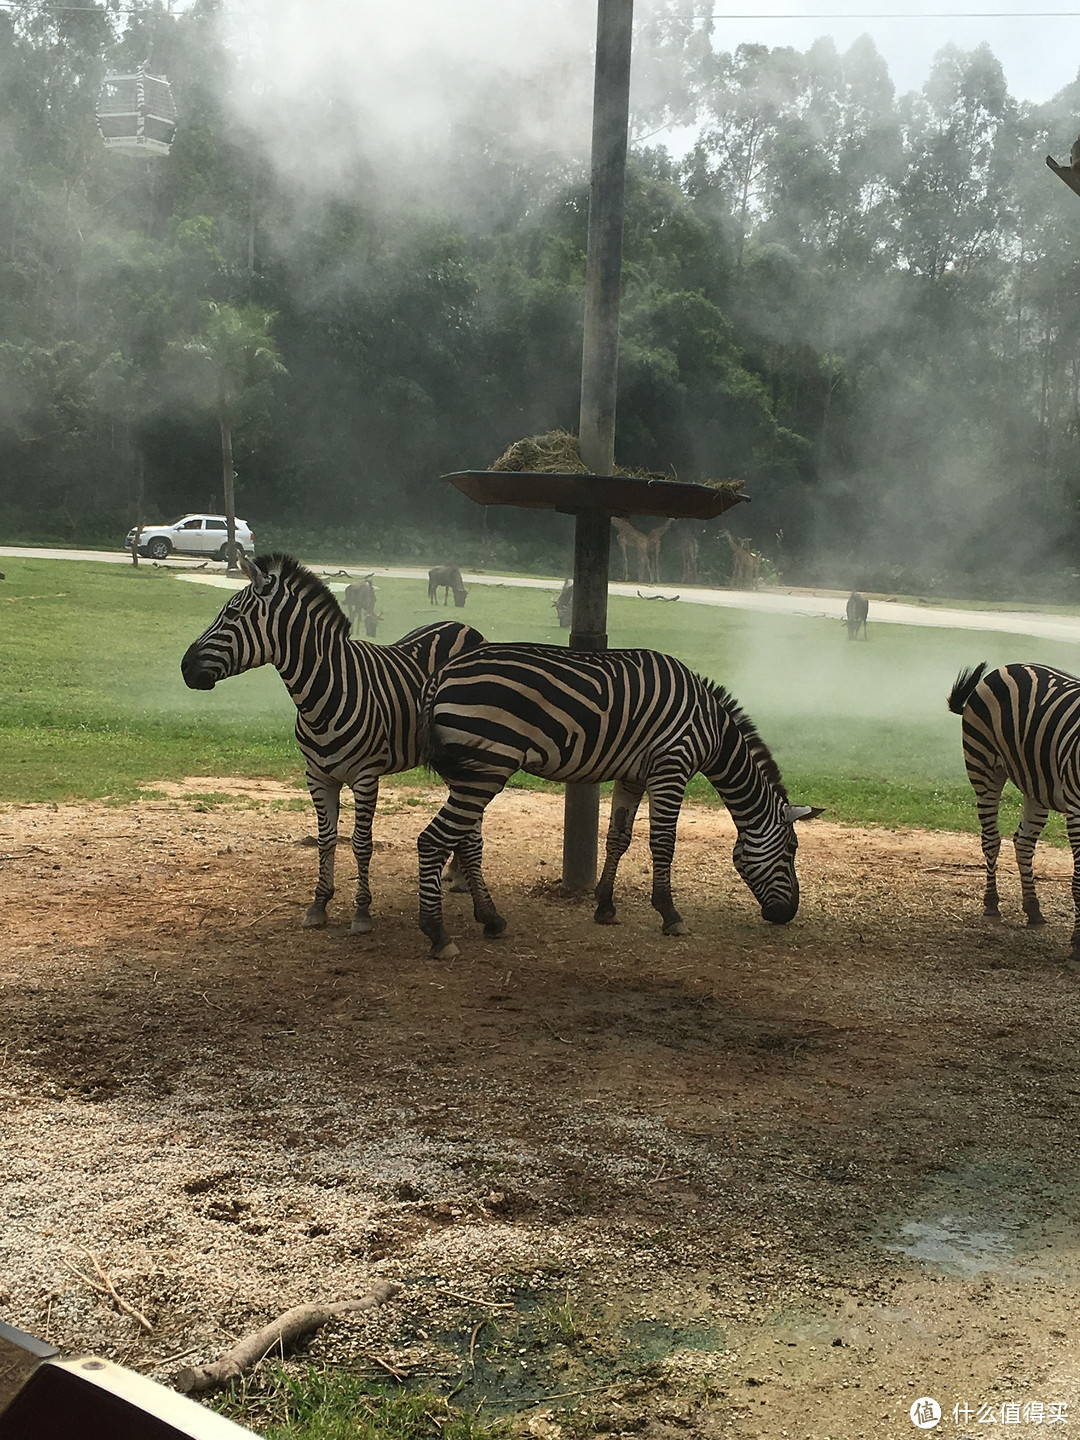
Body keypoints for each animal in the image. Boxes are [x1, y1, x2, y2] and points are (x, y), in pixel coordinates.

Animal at [182, 550, 486, 933]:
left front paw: (362, 911)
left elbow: (361, 843)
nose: (185, 667)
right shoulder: (317, 776)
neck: (323, 692)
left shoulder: (366, 778)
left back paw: (460, 876)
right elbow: (325, 840)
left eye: (232, 615)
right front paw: (318, 904)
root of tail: (465, 627)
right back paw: (456, 874)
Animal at [414, 642, 817, 956]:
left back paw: (491, 919)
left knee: (466, 841)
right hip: (487, 768)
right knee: (432, 840)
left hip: (470, 772)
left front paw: (605, 905)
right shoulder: (671, 766)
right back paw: (438, 934)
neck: (713, 730)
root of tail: (441, 675)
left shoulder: (633, 776)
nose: (787, 914)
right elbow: (663, 842)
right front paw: (670, 914)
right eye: (791, 850)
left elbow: (617, 837)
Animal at [950, 662, 1080, 967]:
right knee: (991, 840)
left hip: (1037, 784)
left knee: (1023, 841)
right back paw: (991, 905)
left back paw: (1033, 909)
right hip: (983, 767)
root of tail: (1009, 666)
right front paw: (1078, 945)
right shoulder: (1077, 812)